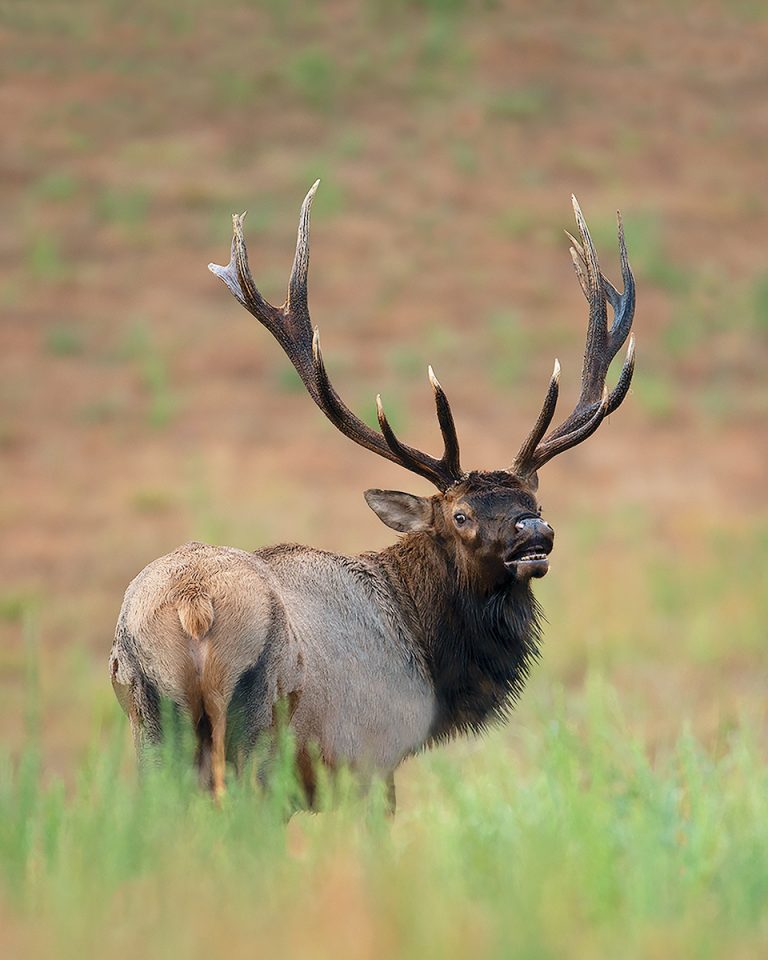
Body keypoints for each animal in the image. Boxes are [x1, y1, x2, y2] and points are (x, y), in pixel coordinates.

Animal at [110, 181, 636, 808]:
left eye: (535, 505)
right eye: (460, 514)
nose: (535, 534)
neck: (431, 657)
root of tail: (195, 608)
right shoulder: (371, 755)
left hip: (151, 725)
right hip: (257, 736)